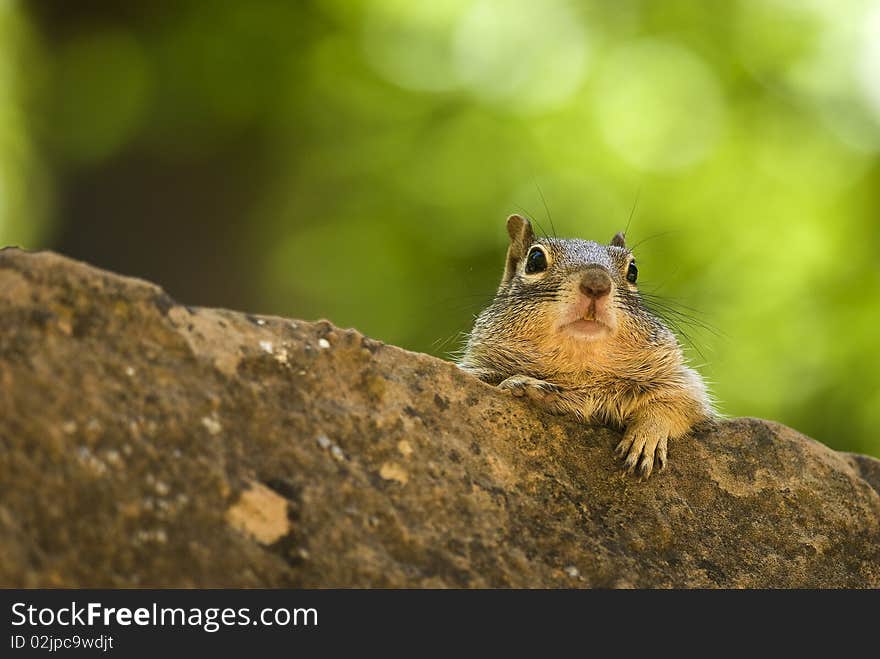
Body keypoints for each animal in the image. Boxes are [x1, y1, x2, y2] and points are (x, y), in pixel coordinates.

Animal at [460, 217, 716, 480]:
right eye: (535, 260)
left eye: (633, 271)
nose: (597, 283)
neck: (581, 370)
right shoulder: (475, 367)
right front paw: (521, 384)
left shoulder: (679, 380)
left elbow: (680, 403)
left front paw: (647, 434)